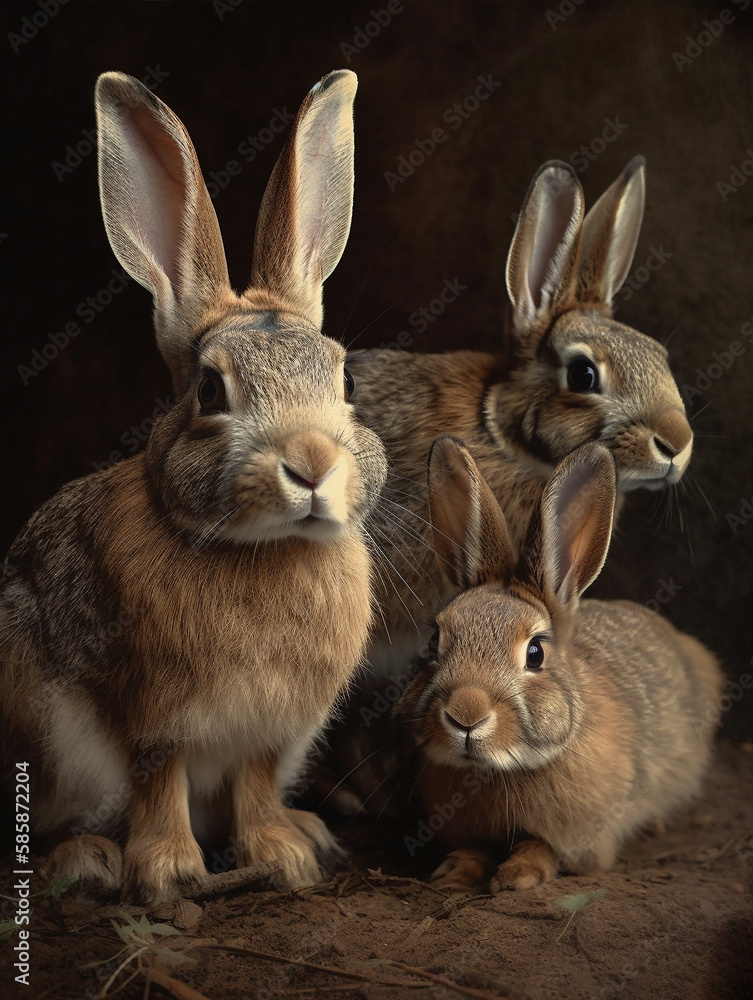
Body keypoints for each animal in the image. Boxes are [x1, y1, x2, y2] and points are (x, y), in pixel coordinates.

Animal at [0, 68, 388, 906]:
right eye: (211, 391)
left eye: (343, 379)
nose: (313, 463)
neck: (263, 551)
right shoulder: (151, 719)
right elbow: (159, 780)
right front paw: (169, 871)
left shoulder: (269, 733)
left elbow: (254, 782)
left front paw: (281, 853)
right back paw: (88, 860)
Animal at [392, 436, 721, 892]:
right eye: (434, 641)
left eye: (535, 653)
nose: (465, 715)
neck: (501, 770)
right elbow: (474, 848)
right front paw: (453, 871)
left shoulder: (582, 837)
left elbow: (542, 848)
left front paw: (516, 875)